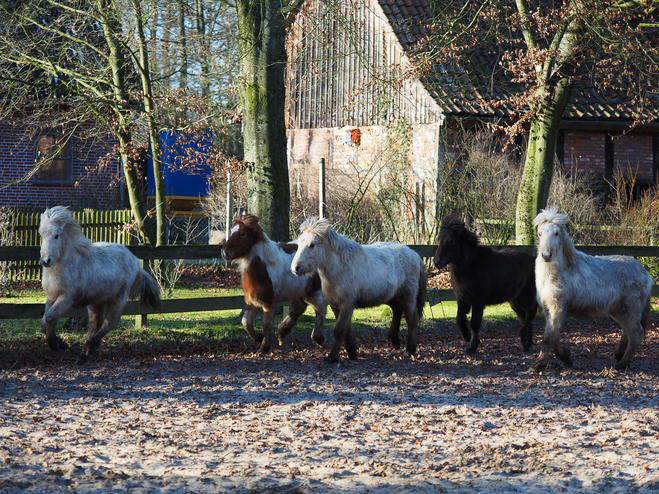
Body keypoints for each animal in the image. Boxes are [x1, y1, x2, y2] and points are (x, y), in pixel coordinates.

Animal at [40, 206, 161, 364]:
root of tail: (134, 260)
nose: (45, 261)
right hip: (97, 301)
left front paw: (58, 344)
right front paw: (58, 342)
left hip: (118, 298)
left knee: (110, 323)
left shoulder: (67, 298)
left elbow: (50, 317)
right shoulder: (52, 297)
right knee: (95, 324)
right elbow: (45, 321)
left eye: (56, 236)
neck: (64, 265)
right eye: (41, 235)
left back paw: (90, 347)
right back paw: (83, 355)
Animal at [222, 214, 328, 354]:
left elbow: (266, 325)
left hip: (312, 292)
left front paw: (263, 348)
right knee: (300, 308)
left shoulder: (269, 302)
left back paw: (318, 338)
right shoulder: (252, 300)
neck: (264, 266)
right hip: (296, 292)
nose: (224, 253)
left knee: (321, 308)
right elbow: (245, 321)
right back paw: (283, 333)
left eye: (243, 234)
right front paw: (258, 337)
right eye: (230, 231)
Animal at [290, 218, 428, 364]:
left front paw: (332, 357)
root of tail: (414, 254)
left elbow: (339, 331)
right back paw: (395, 340)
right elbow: (346, 330)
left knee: (411, 321)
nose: (295, 268)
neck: (340, 268)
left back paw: (410, 350)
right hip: (392, 297)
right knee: (397, 311)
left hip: (408, 297)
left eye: (312, 245)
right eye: (299, 244)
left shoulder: (346, 305)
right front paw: (352, 353)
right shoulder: (336, 306)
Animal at [436, 217, 540, 356]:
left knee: (531, 312)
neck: (472, 266)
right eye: (438, 239)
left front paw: (472, 347)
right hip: (515, 301)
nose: (437, 262)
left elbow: (474, 323)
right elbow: (459, 320)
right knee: (524, 317)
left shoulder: (478, 301)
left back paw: (524, 340)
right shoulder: (462, 299)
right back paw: (527, 343)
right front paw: (467, 337)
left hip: (526, 296)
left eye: (451, 240)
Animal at [532, 206, 652, 372]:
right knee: (627, 332)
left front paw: (539, 364)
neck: (559, 272)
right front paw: (566, 357)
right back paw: (619, 355)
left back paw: (621, 364)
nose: (546, 255)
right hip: (619, 311)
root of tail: (646, 274)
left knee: (636, 334)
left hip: (630, 310)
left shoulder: (558, 308)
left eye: (556, 233)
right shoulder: (548, 309)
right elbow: (553, 336)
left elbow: (548, 337)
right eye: (540, 233)